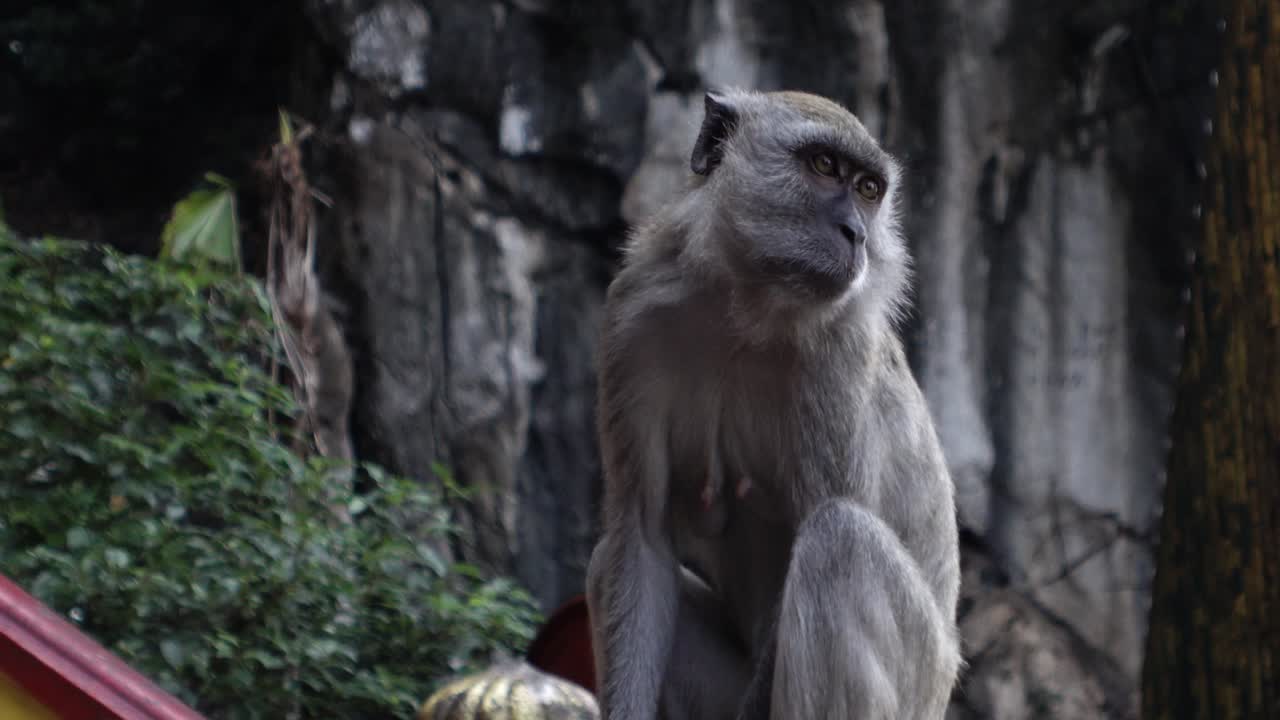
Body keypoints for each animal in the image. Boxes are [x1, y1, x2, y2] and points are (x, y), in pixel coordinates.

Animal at [584, 88, 961, 720]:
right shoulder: (632, 318)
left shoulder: (839, 352)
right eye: (825, 166)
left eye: (869, 189)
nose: (856, 234)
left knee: (840, 541)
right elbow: (643, 533)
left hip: (917, 679)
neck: (747, 309)